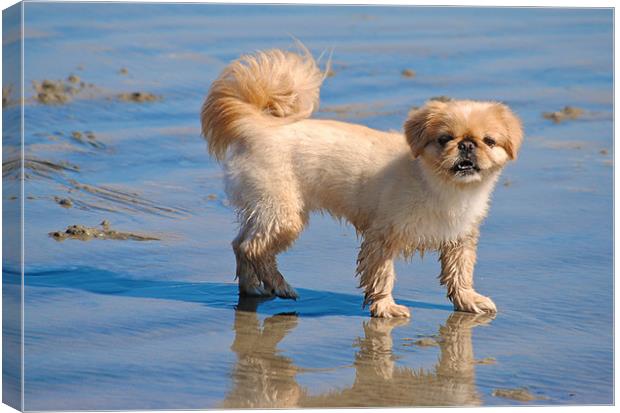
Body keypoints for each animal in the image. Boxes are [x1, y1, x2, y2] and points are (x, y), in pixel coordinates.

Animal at [201, 49, 520, 318]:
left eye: (489, 141)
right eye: (444, 139)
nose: (466, 145)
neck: (440, 185)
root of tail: (257, 126)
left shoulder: (460, 239)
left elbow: (460, 274)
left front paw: (468, 301)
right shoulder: (382, 237)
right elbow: (382, 275)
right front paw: (385, 307)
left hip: (266, 211)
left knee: (240, 244)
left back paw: (252, 288)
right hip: (283, 215)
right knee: (253, 248)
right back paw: (279, 285)